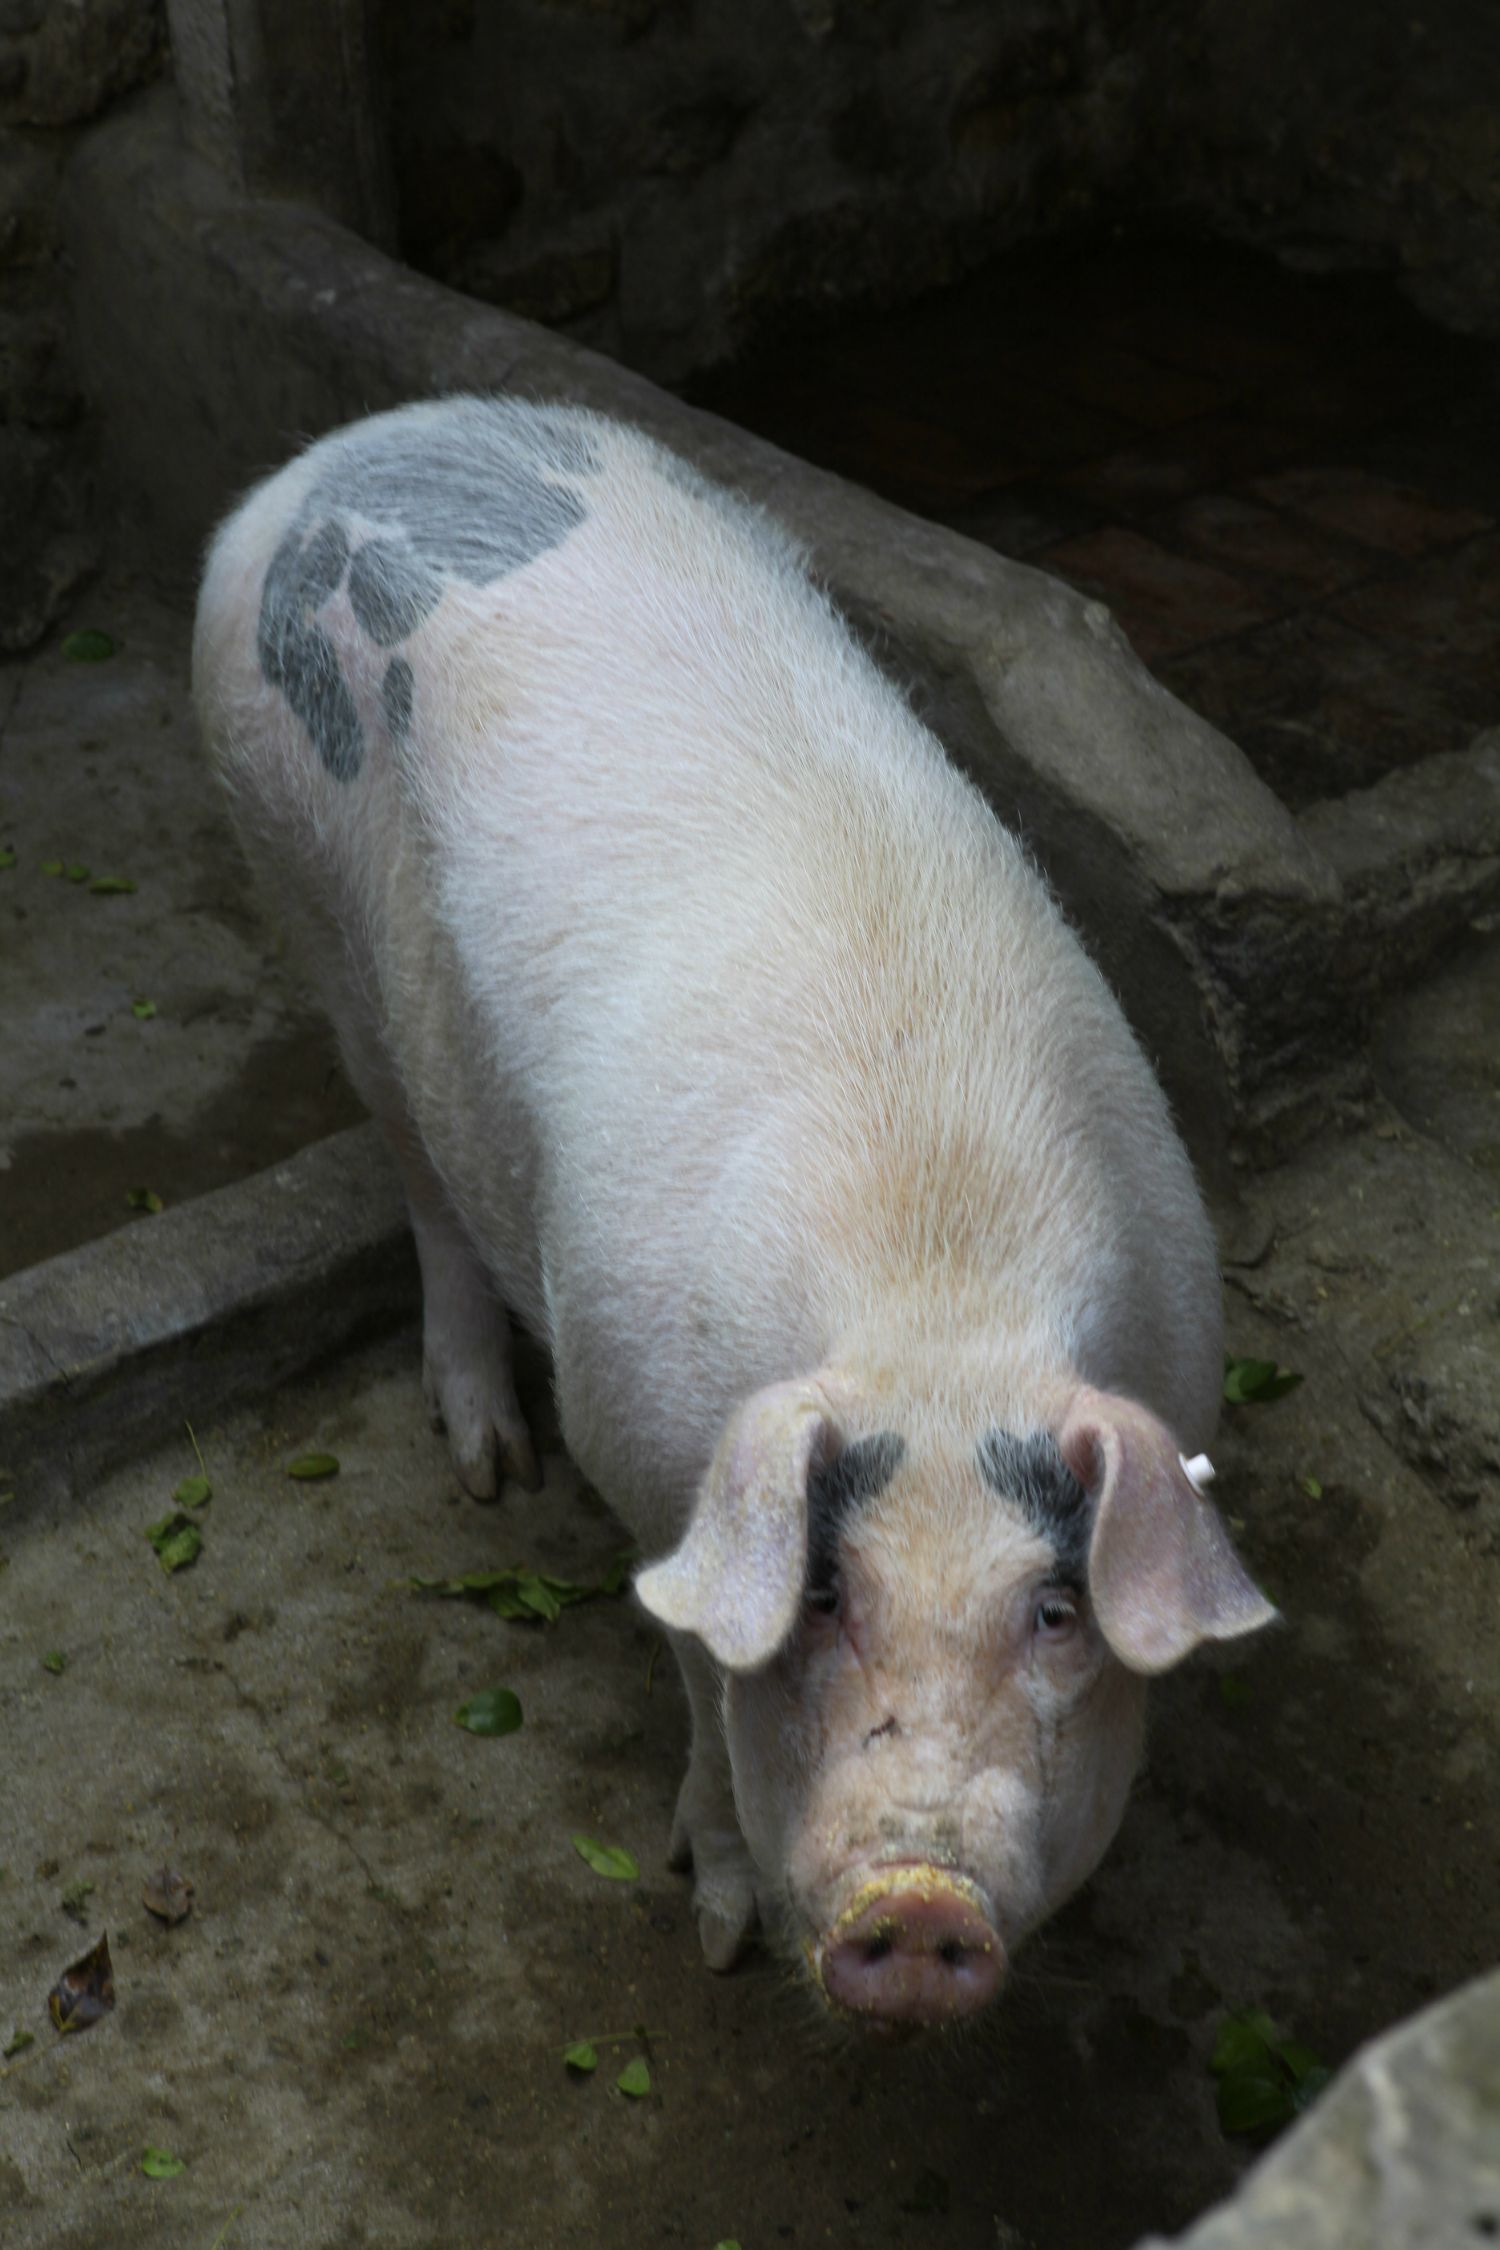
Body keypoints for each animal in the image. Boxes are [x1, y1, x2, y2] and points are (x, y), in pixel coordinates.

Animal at [193, 400, 1277, 2043]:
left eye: (1054, 1610)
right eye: (823, 1592)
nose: (919, 1904)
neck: (933, 1297)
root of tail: (341, 450)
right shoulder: (644, 1455)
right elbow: (702, 1683)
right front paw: (711, 1931)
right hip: (298, 884)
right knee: (417, 1170)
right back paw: (488, 1466)